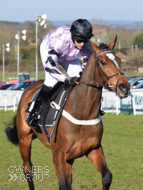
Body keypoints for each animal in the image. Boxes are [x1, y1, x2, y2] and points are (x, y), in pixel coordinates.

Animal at [5, 37, 130, 190]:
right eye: (103, 62)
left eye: (118, 59)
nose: (124, 86)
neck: (83, 114)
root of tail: (28, 87)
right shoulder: (58, 154)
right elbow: (63, 184)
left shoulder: (93, 149)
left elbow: (107, 176)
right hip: (25, 139)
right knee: (28, 169)